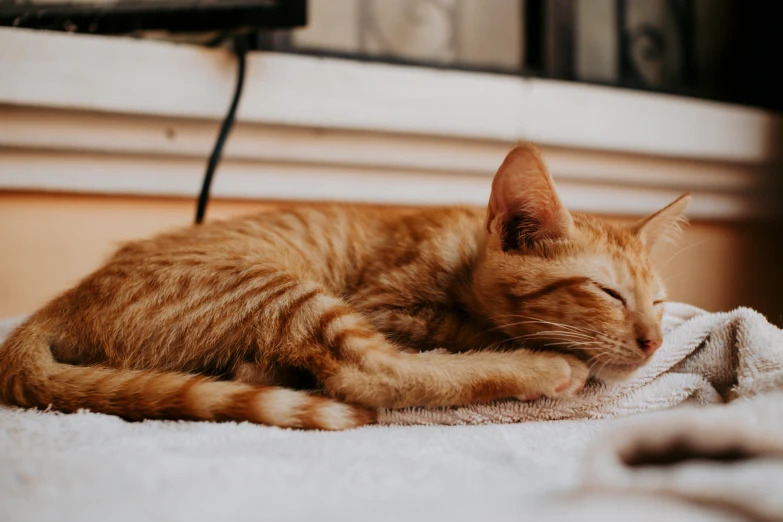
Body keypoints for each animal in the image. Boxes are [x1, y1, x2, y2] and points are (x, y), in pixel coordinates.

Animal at [0, 144, 688, 428]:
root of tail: (61, 302)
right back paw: (544, 368)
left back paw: (258, 370)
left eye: (658, 302)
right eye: (608, 293)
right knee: (368, 373)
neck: (462, 251)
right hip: (285, 290)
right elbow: (459, 331)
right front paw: (547, 347)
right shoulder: (385, 305)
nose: (654, 342)